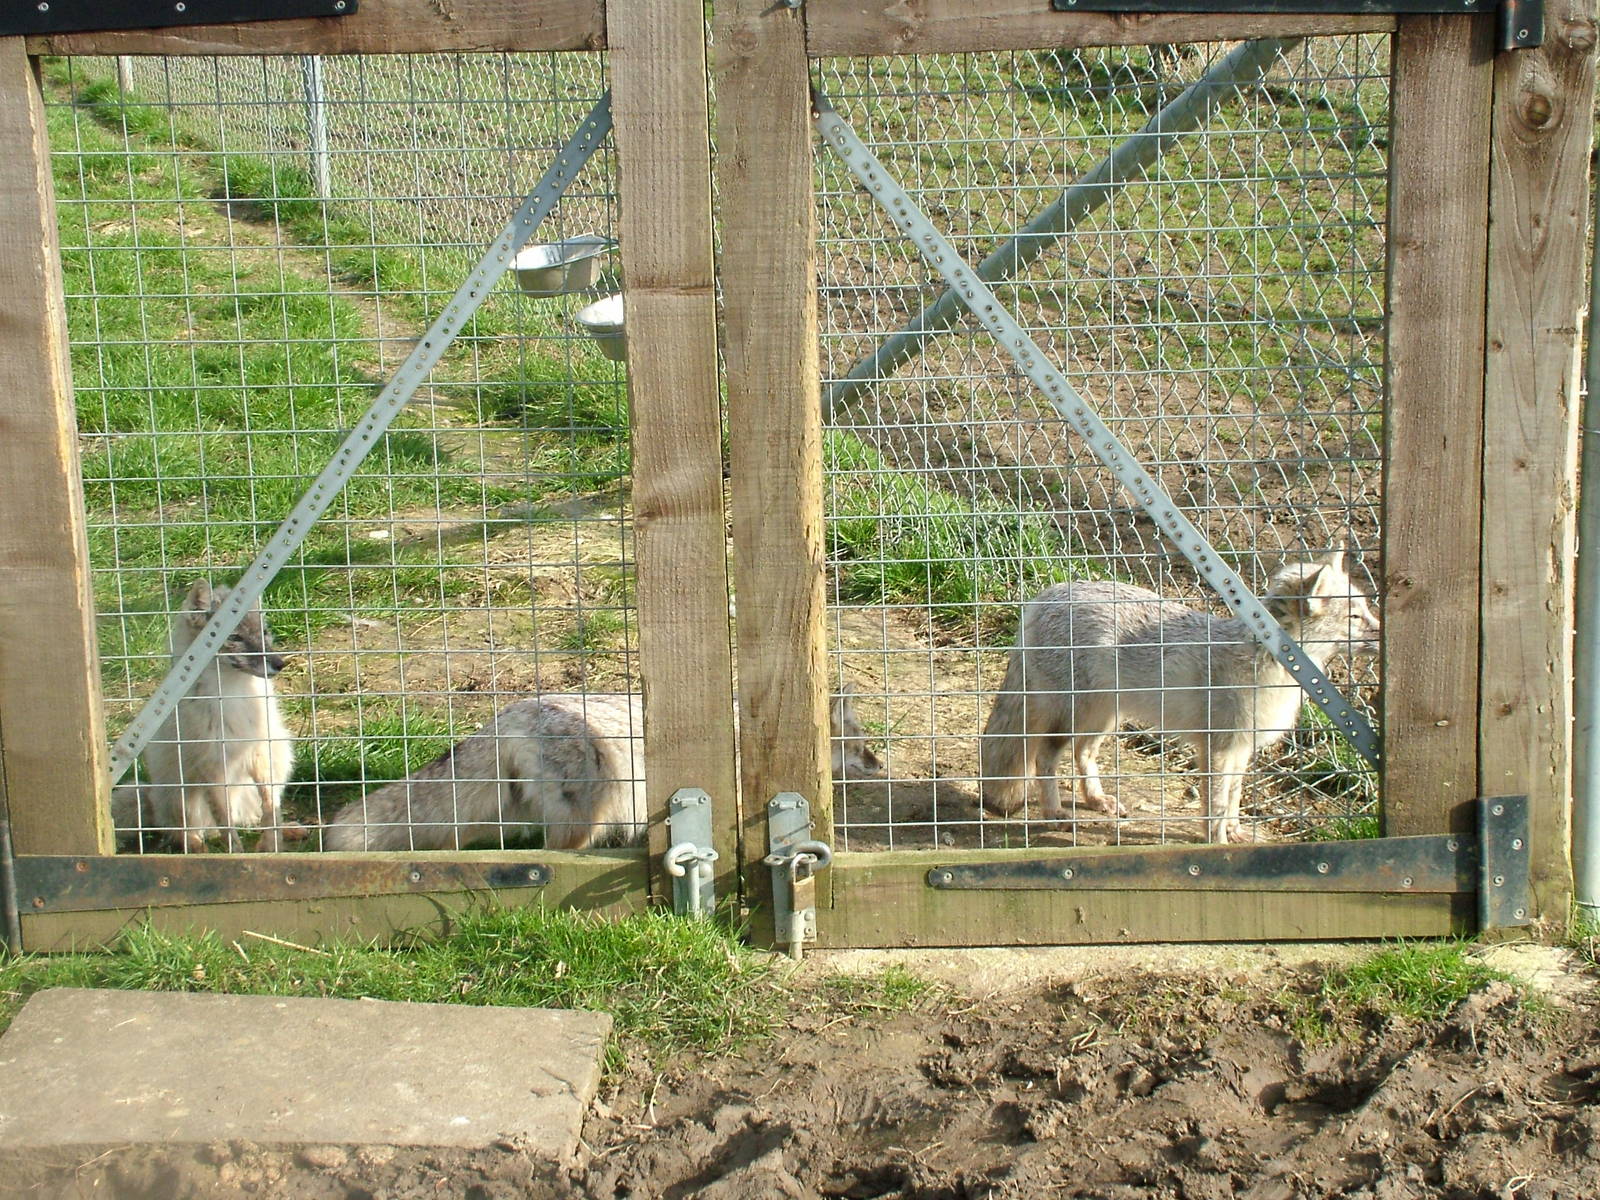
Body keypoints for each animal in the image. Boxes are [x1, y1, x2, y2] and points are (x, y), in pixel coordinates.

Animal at [111, 580, 296, 853]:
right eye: (234, 637)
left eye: (264, 632)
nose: (280, 663)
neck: (235, 696)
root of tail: (153, 797)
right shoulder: (213, 768)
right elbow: (226, 825)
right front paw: (237, 855)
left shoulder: (261, 754)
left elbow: (271, 809)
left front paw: (272, 846)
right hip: (183, 798)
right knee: (187, 834)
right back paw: (200, 848)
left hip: (280, 761)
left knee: (252, 817)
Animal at [979, 549, 1380, 844]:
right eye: (1356, 617)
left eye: (1365, 611)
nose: (1383, 632)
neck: (1263, 664)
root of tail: (1047, 594)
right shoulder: (1216, 749)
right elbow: (1215, 804)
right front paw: (1217, 841)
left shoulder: (1240, 749)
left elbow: (1232, 798)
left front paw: (1234, 832)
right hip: (1073, 716)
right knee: (1044, 759)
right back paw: (1054, 813)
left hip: (1103, 718)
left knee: (1083, 755)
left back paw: (1096, 799)